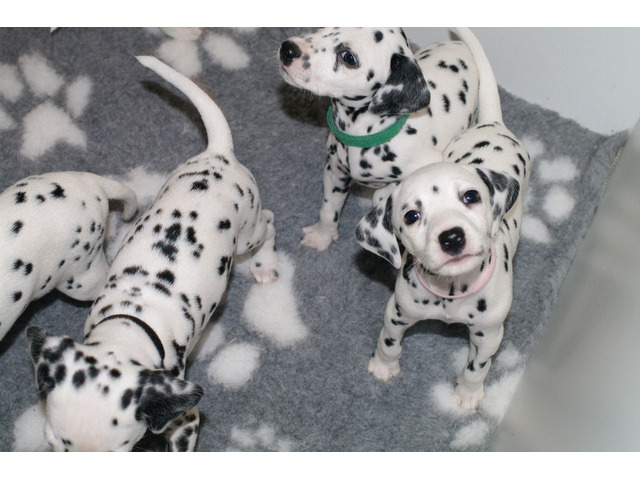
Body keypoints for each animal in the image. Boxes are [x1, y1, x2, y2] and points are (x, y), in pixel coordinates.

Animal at [26, 55, 278, 450]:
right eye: (53, 442)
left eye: (119, 451)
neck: (129, 324)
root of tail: (218, 155)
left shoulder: (186, 419)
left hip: (248, 231)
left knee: (269, 222)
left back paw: (266, 263)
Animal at [278, 27, 478, 251]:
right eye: (324, 28)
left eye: (348, 57)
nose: (288, 49)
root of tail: (460, 44)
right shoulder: (335, 170)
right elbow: (328, 209)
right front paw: (322, 236)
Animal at [358, 27, 532, 408]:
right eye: (411, 215)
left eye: (471, 197)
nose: (451, 238)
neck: (452, 293)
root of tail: (492, 123)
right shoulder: (398, 311)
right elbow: (388, 340)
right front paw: (383, 366)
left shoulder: (490, 334)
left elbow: (477, 366)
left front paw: (468, 394)